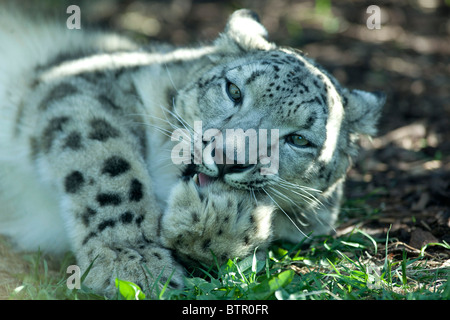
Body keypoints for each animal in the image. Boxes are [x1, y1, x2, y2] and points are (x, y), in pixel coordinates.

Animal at [0, 8, 384, 298]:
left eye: (300, 140)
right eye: (233, 90)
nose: (229, 159)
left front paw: (223, 215)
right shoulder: (79, 88)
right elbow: (110, 168)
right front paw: (132, 262)